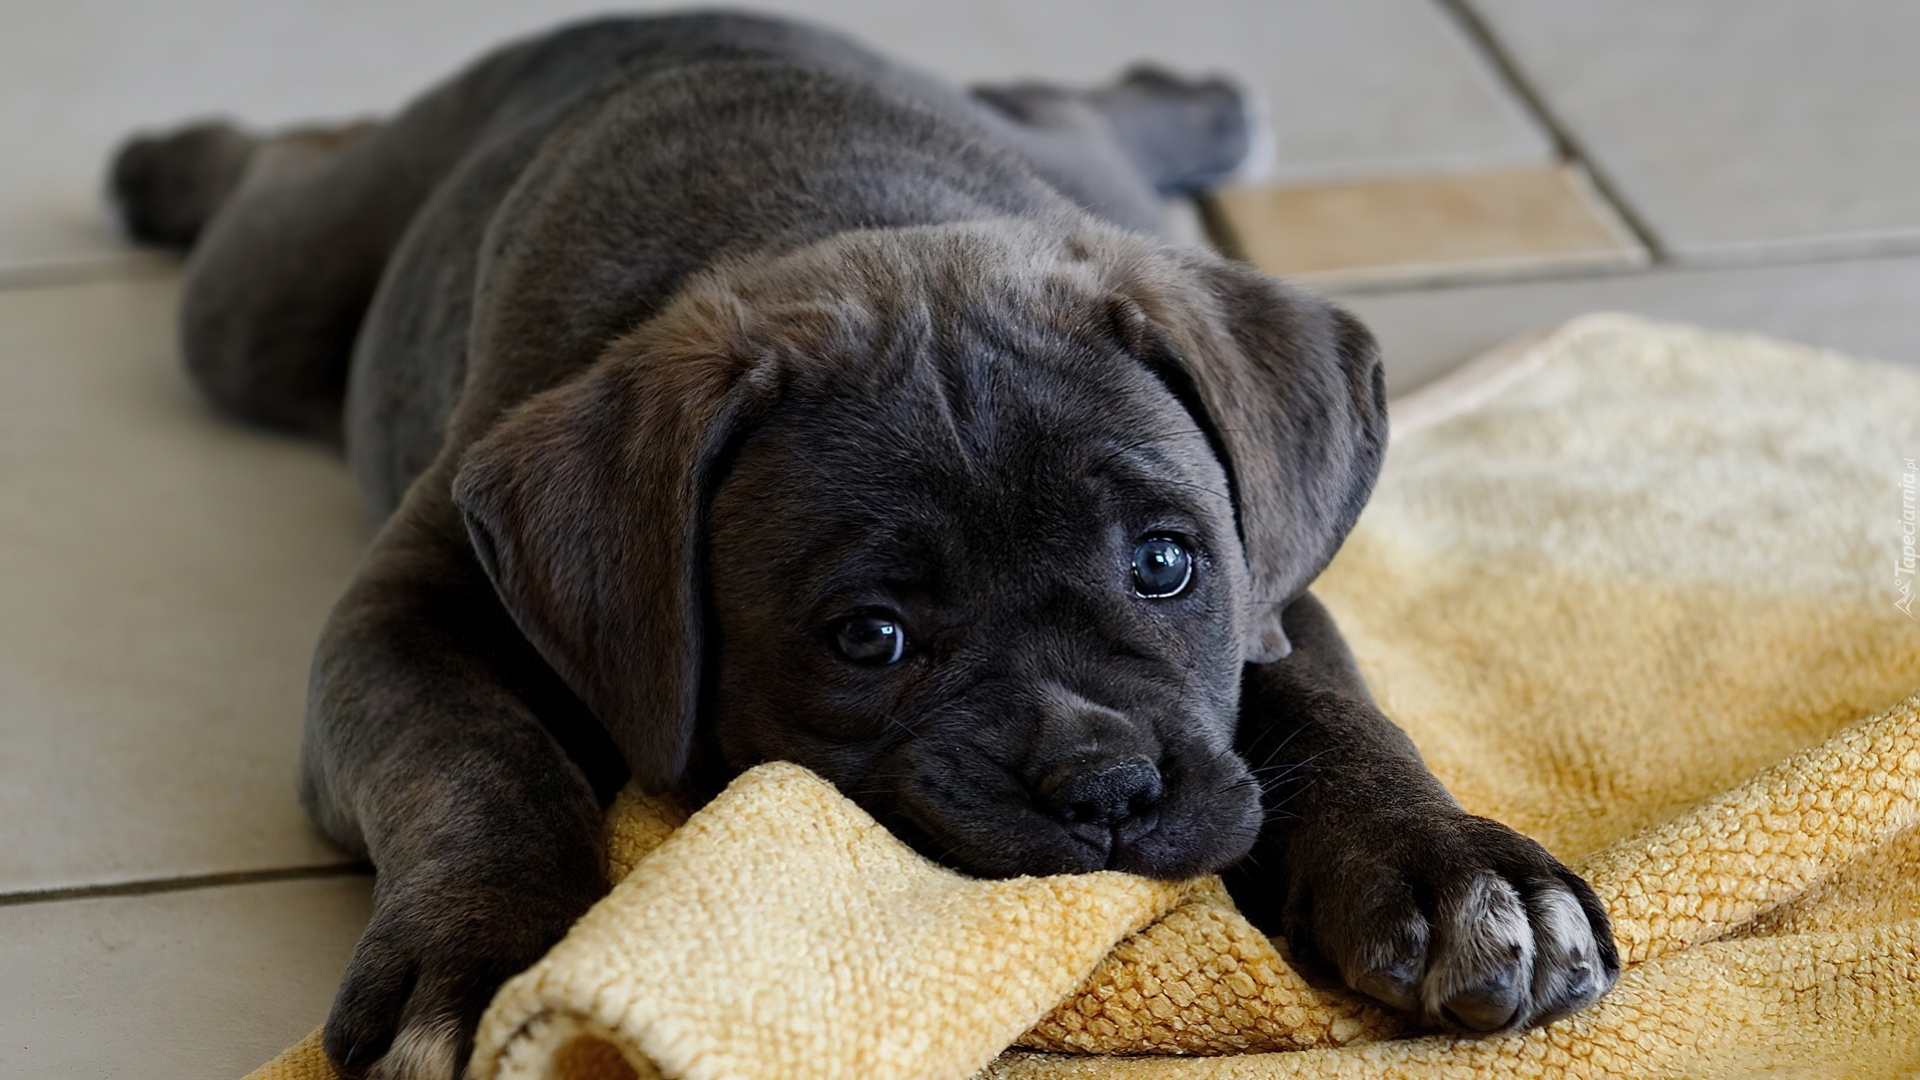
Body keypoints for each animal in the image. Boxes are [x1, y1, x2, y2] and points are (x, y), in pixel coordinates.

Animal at [112, 12, 1612, 1068]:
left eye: (1166, 563)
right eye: (869, 638)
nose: (1107, 788)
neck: (842, 216)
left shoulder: (1272, 600)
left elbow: (1341, 718)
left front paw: (1457, 869)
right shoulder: (404, 620)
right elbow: (481, 765)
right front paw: (480, 963)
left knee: (1068, 106)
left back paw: (1196, 101)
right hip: (264, 305)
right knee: (280, 178)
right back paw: (174, 162)